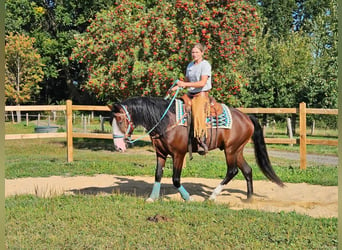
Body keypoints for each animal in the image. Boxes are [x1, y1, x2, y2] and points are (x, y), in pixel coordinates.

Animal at [110, 96, 284, 202]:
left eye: (120, 121)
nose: (118, 147)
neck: (166, 121)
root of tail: (247, 117)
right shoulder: (160, 154)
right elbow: (158, 175)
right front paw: (152, 198)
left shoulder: (178, 154)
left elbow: (175, 179)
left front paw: (188, 198)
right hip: (237, 150)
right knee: (247, 170)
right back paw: (248, 199)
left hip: (230, 150)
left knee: (232, 171)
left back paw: (212, 196)